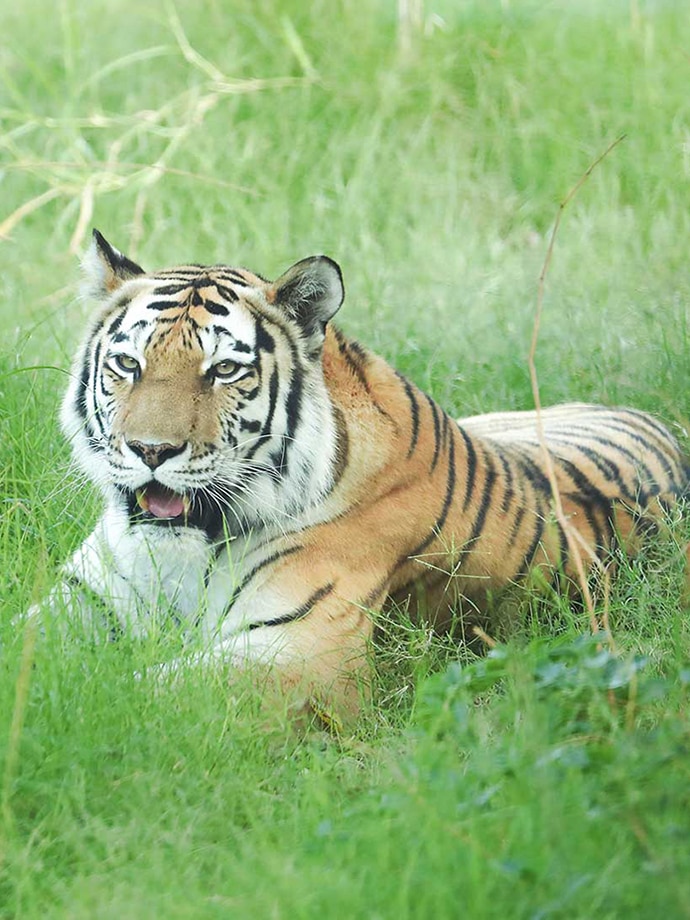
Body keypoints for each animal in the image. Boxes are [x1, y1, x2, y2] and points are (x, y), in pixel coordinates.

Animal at [47, 229, 687, 720]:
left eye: (224, 370)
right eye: (127, 363)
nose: (150, 450)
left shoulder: (301, 649)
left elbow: (134, 691)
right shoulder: (83, 597)